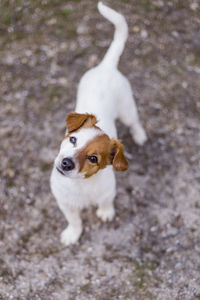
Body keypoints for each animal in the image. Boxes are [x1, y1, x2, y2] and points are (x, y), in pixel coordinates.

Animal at [50, 1, 147, 246]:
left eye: (93, 158)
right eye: (73, 139)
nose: (66, 163)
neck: (80, 185)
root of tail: (106, 67)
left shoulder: (107, 193)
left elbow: (105, 202)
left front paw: (105, 213)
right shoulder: (65, 205)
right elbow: (75, 221)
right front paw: (72, 234)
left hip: (127, 110)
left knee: (135, 122)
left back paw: (140, 135)